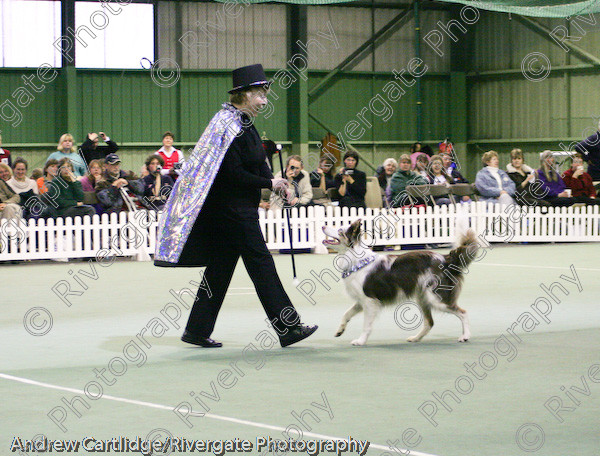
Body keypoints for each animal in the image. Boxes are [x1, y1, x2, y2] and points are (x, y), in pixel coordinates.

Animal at [324, 220, 478, 346]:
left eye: (340, 230)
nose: (323, 226)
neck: (355, 260)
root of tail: (445, 259)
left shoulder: (370, 301)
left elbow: (366, 325)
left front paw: (360, 341)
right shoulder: (362, 301)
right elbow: (346, 314)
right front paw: (340, 330)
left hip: (436, 298)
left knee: (463, 312)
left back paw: (465, 336)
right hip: (423, 297)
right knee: (429, 323)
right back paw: (415, 338)